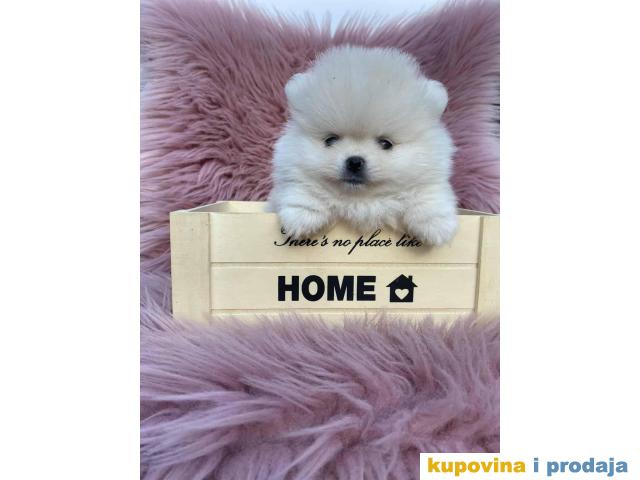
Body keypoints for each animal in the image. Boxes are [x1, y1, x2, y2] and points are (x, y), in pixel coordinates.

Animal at [267, 46, 458, 246]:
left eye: (386, 143)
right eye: (330, 140)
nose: (354, 162)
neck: (360, 201)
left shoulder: (431, 174)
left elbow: (428, 194)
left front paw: (435, 224)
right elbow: (303, 186)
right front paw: (302, 215)